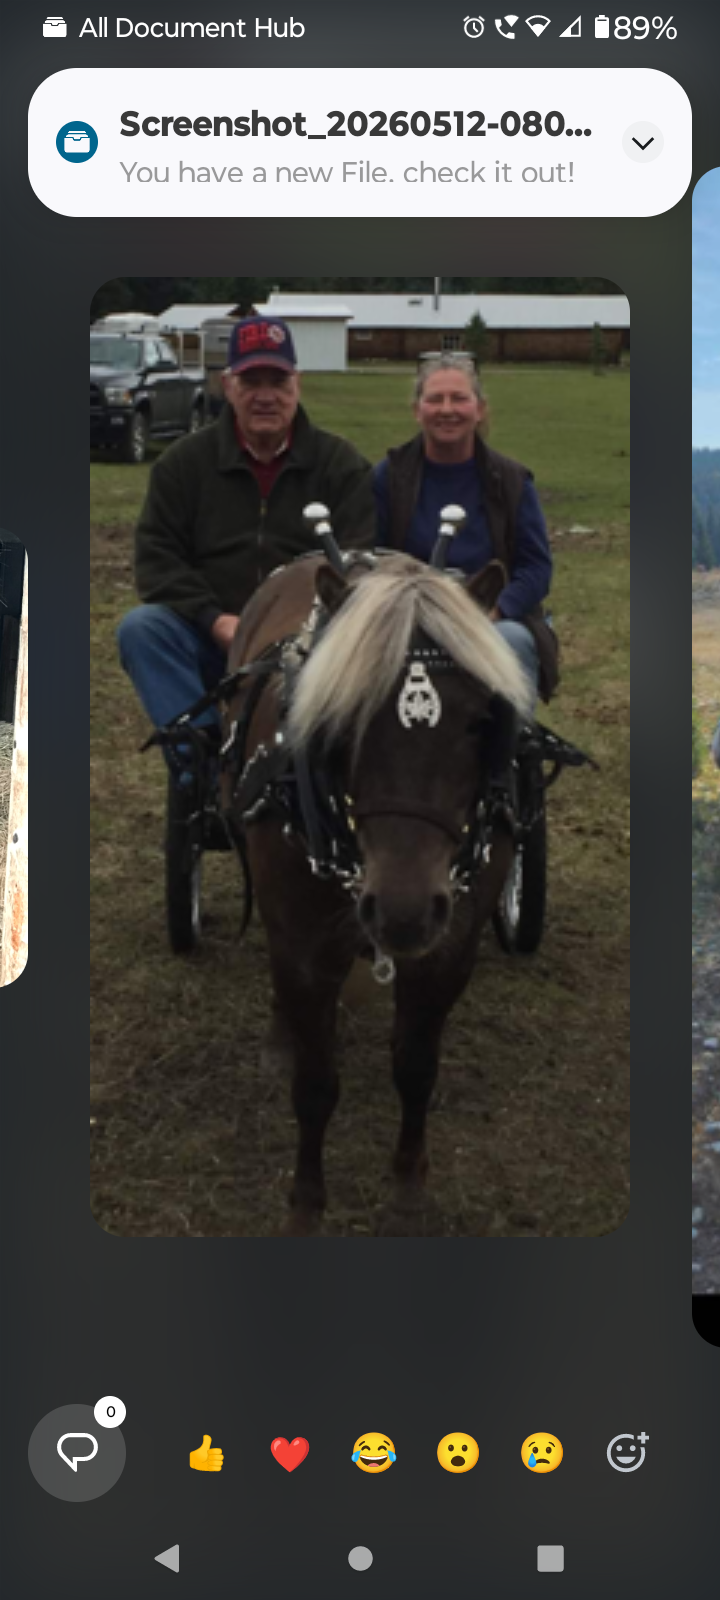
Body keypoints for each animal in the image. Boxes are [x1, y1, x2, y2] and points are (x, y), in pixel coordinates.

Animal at [222, 545, 533, 1233]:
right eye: (341, 721)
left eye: (480, 721)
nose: (405, 911)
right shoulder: (304, 950)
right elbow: (315, 1086)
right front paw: (307, 1204)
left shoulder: (450, 951)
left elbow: (414, 1067)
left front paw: (409, 1181)